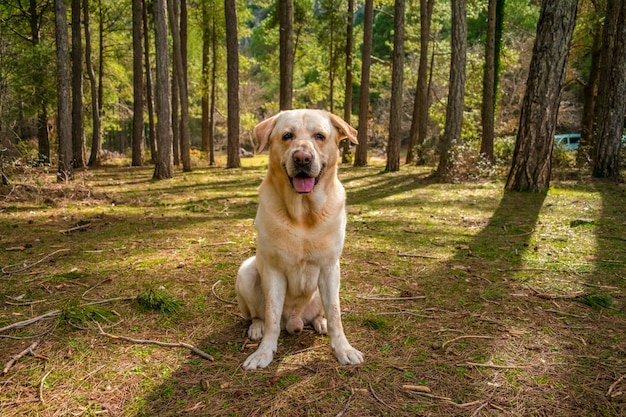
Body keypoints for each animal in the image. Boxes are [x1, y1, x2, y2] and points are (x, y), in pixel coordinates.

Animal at [233, 109, 360, 368]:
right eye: (287, 136)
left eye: (320, 136)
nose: (302, 158)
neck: (304, 214)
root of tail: (294, 320)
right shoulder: (273, 270)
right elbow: (271, 316)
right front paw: (264, 353)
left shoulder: (330, 268)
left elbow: (335, 313)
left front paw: (343, 348)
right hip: (246, 272)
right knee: (259, 316)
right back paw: (257, 328)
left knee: (323, 312)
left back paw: (320, 322)